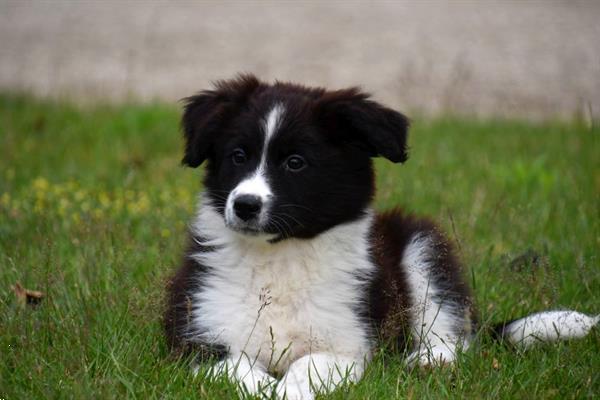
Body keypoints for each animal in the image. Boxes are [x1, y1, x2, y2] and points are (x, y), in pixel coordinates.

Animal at [165, 76, 600, 400]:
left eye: (295, 163)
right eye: (238, 156)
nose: (245, 205)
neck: (280, 257)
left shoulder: (349, 343)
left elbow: (308, 365)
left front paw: (290, 390)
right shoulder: (196, 339)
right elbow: (241, 370)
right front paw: (266, 388)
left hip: (421, 245)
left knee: (454, 334)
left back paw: (428, 360)